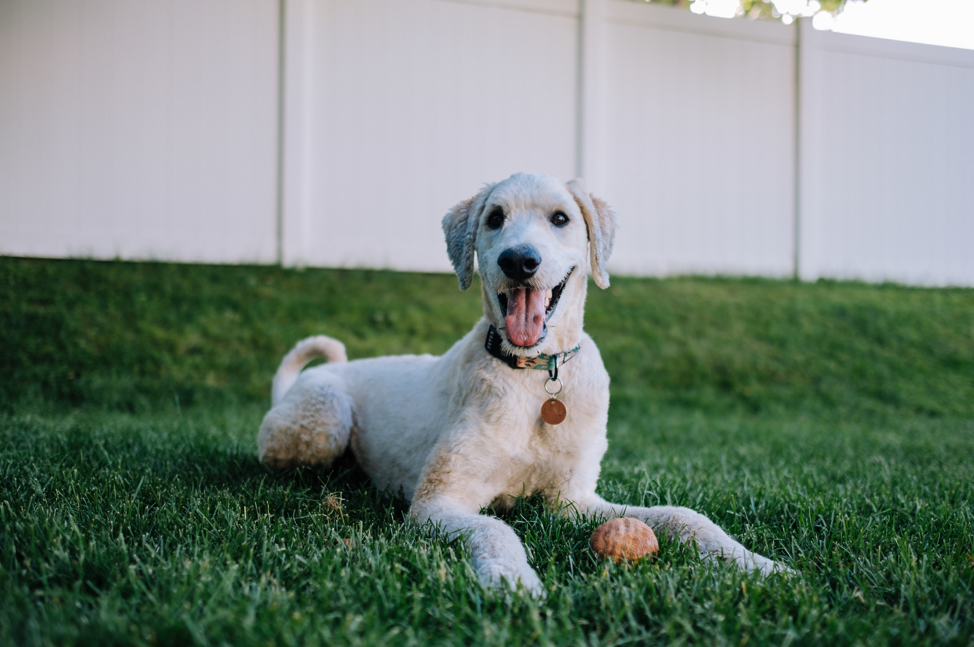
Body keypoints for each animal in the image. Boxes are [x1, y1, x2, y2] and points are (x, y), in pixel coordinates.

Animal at [258, 173, 784, 596]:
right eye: (494, 218)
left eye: (561, 217)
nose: (519, 261)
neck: (534, 377)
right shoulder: (438, 502)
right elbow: (496, 529)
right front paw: (512, 581)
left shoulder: (573, 501)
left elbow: (684, 515)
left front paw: (759, 564)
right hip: (322, 420)